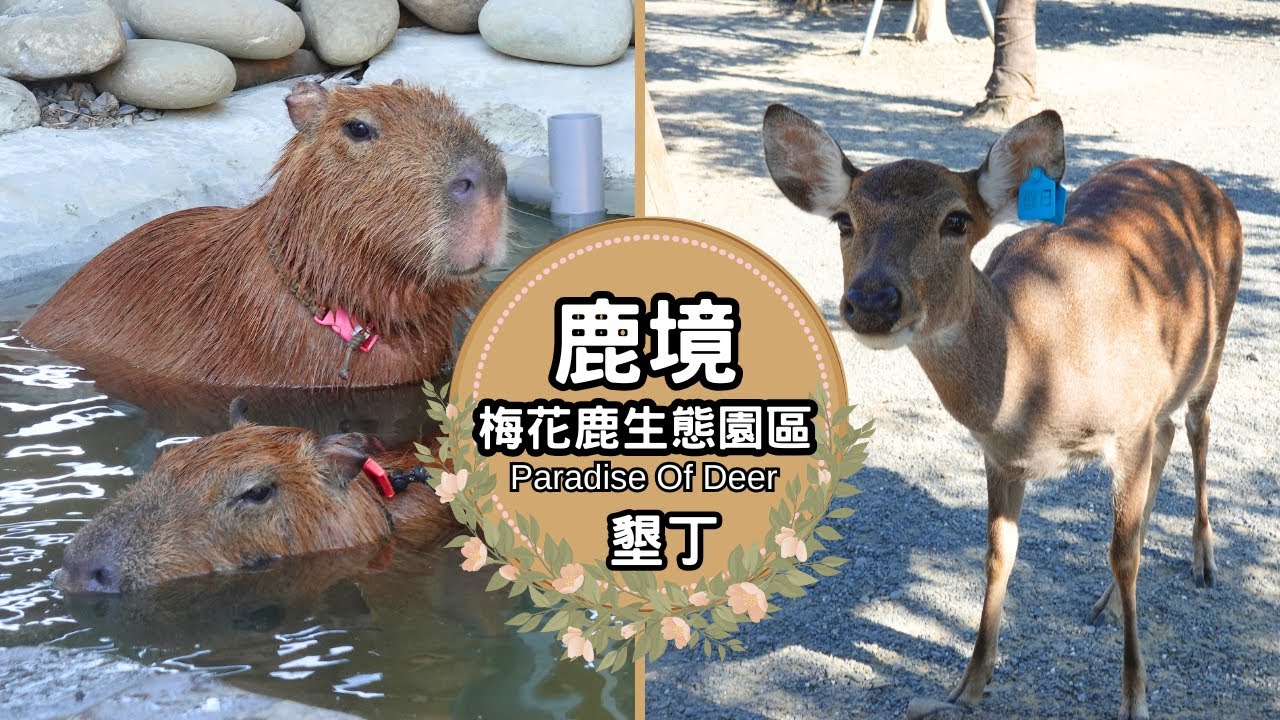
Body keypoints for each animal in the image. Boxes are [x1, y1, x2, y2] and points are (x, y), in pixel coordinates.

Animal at [762, 105, 1242, 719]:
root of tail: (1202, 179)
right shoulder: (1001, 455)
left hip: (1213, 341)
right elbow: (998, 555)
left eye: (957, 220)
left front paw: (1135, 698)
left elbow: (1123, 554)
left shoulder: (1127, 423)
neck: (1036, 381)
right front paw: (969, 682)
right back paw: (1109, 602)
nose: (872, 300)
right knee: (1169, 441)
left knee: (1198, 426)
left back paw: (1204, 560)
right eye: (844, 221)